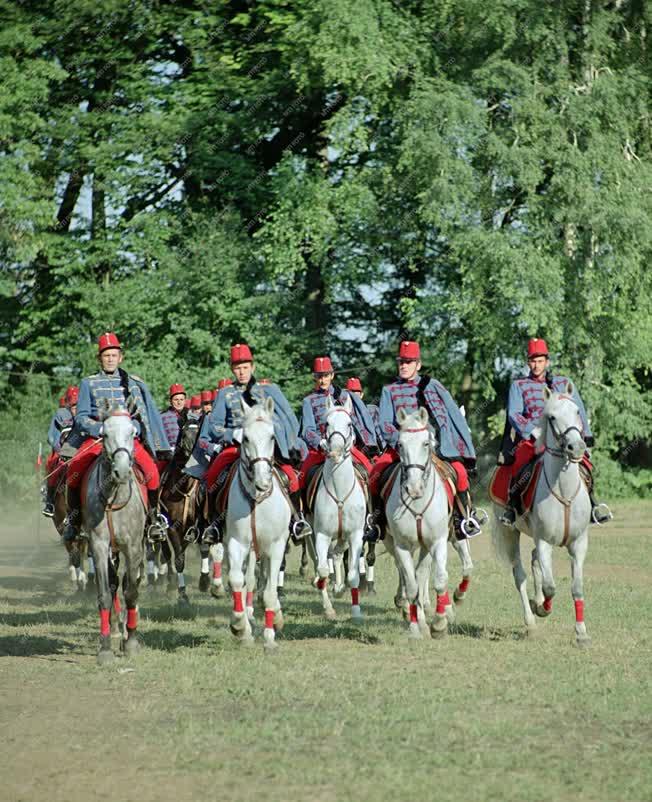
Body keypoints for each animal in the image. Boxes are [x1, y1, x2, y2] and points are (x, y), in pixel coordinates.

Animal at [224, 396, 290, 648]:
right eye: (245, 438)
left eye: (272, 437)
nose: (262, 481)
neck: (258, 500)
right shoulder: (237, 543)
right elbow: (236, 581)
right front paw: (240, 626)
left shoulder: (277, 546)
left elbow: (270, 592)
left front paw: (270, 637)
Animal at [384, 406, 450, 636]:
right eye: (400, 444)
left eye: (426, 443)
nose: (413, 488)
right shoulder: (402, 545)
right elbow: (412, 586)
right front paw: (415, 626)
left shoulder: (437, 542)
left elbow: (438, 580)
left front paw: (439, 624)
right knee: (407, 576)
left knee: (421, 575)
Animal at [494, 382, 596, 644]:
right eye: (551, 417)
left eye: (577, 411)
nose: (576, 447)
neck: (564, 491)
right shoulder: (544, 542)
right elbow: (551, 587)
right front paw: (542, 608)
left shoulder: (579, 543)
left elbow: (577, 587)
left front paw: (581, 632)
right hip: (510, 534)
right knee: (520, 574)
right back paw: (531, 620)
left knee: (533, 561)